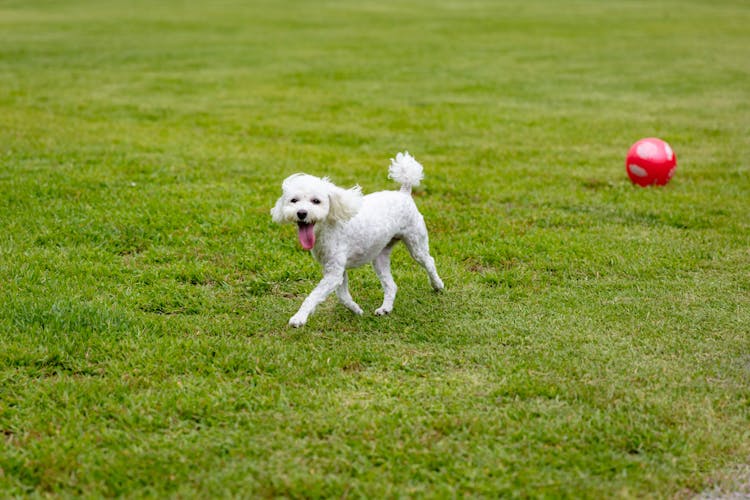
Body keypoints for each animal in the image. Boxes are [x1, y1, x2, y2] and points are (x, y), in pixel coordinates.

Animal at [272, 152, 444, 328]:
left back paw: (437, 285)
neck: (327, 228)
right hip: (380, 257)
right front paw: (356, 310)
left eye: (316, 201)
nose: (301, 213)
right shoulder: (335, 269)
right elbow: (342, 296)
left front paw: (299, 318)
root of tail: (404, 192)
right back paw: (385, 308)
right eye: (293, 200)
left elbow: (314, 296)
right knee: (391, 285)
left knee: (429, 261)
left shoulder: (334, 271)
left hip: (416, 242)